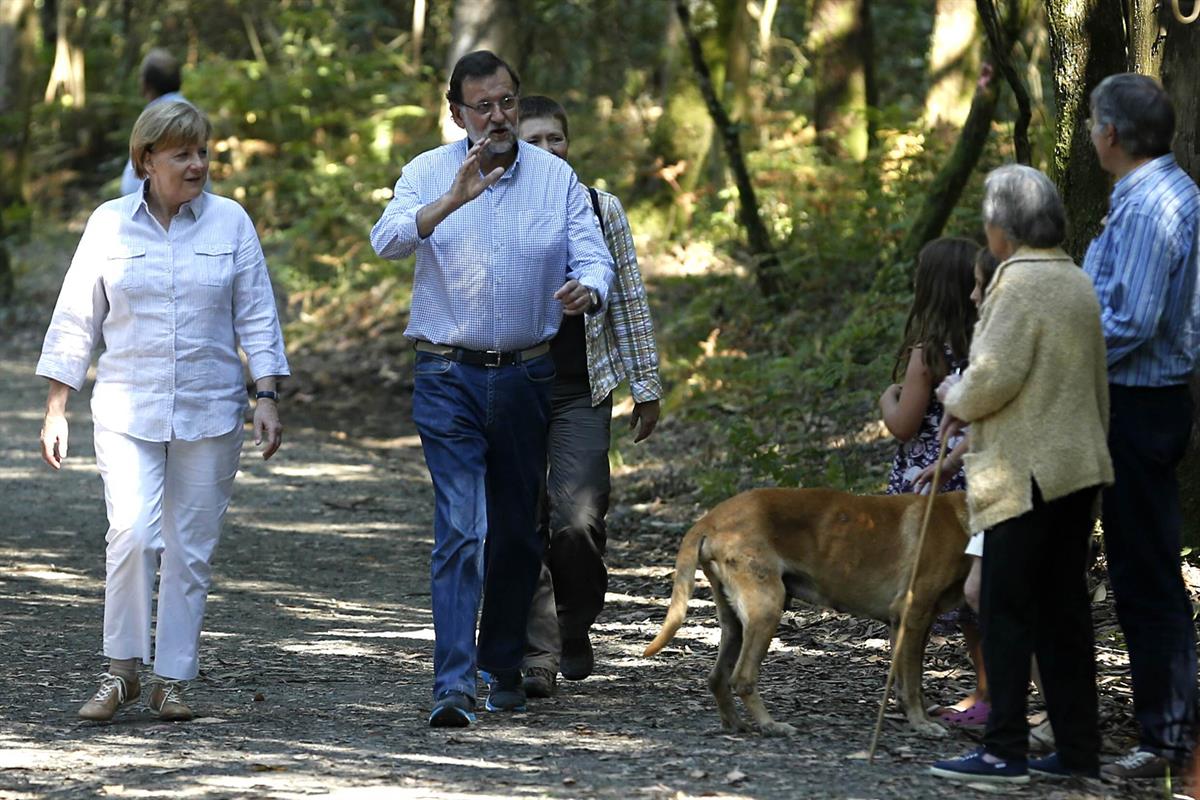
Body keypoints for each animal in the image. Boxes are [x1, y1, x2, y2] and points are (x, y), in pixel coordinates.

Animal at [643, 484, 969, 734]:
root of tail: (711, 517)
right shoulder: (913, 617)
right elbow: (913, 684)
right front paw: (921, 724)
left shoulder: (907, 625)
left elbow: (907, 682)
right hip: (766, 609)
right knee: (742, 679)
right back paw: (770, 725)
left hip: (734, 622)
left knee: (717, 678)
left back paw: (736, 724)